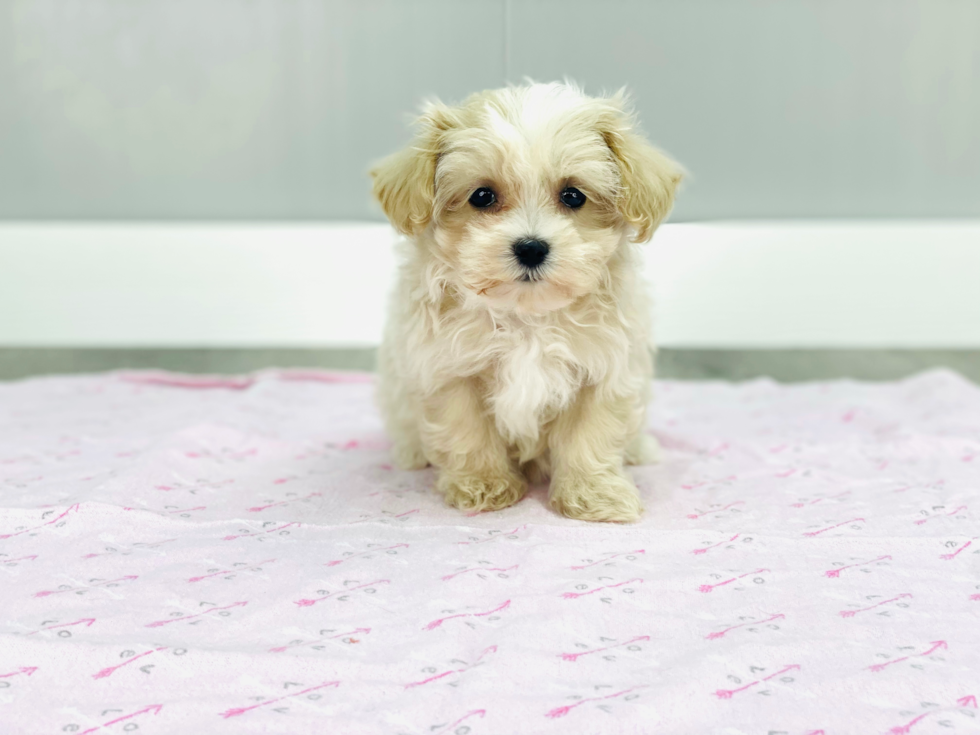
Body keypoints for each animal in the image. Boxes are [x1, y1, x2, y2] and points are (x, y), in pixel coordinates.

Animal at [370, 82, 680, 524]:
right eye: (482, 196)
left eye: (573, 196)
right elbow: (467, 431)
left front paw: (594, 495)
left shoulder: (605, 369)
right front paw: (483, 484)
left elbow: (591, 435)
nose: (531, 247)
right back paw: (412, 452)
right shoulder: (448, 369)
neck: (526, 316)